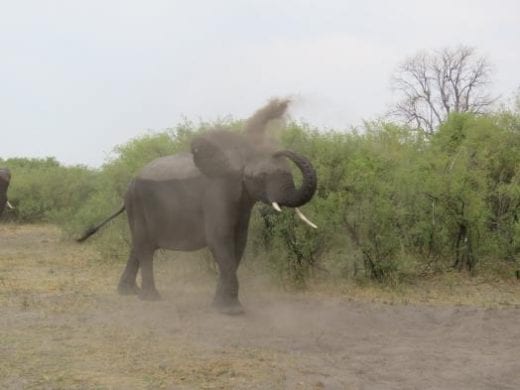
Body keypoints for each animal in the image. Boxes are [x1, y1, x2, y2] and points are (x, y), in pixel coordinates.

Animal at [77, 100, 316, 314]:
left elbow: (238, 243)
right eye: (263, 176)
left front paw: (219, 305)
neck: (239, 155)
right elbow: (220, 240)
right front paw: (232, 311)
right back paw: (150, 298)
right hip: (138, 201)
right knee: (144, 245)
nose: (281, 150)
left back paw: (129, 292)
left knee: (138, 244)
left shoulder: (241, 200)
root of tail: (129, 184)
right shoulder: (218, 193)